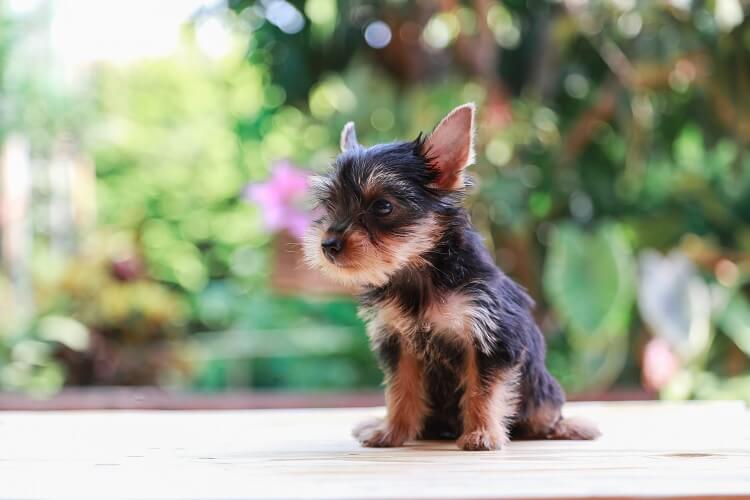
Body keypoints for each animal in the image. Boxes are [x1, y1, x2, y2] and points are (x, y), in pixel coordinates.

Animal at [302, 103, 604, 452]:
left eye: (382, 206)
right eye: (330, 204)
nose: (328, 244)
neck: (420, 270)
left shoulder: (491, 336)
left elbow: (482, 389)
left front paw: (482, 434)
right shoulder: (399, 341)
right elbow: (401, 388)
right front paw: (392, 431)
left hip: (542, 391)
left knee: (544, 416)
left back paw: (565, 426)